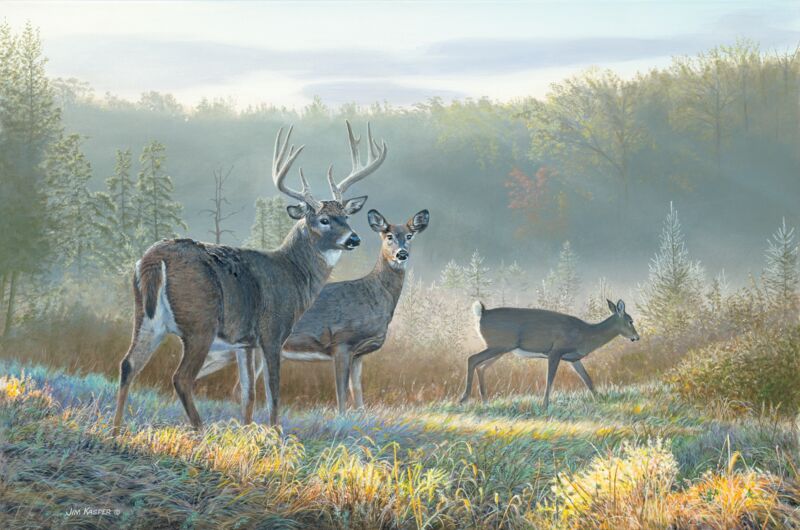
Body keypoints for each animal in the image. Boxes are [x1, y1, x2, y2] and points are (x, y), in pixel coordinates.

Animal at [112, 121, 387, 435]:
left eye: (347, 217)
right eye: (323, 219)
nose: (353, 239)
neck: (293, 274)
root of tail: (153, 258)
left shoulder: (244, 342)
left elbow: (247, 393)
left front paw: (246, 432)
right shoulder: (272, 331)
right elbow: (273, 391)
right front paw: (276, 434)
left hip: (146, 318)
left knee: (128, 364)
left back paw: (115, 430)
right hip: (199, 323)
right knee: (180, 377)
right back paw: (201, 431)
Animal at [196, 208, 430, 414]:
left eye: (409, 235)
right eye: (388, 236)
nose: (401, 254)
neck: (373, 295)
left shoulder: (359, 354)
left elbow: (358, 394)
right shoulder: (342, 343)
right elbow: (342, 395)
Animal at [459, 299, 639, 410]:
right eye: (630, 321)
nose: (637, 337)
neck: (585, 334)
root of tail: (482, 313)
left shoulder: (573, 359)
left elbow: (587, 379)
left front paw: (600, 399)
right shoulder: (555, 351)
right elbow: (550, 379)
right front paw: (545, 405)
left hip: (501, 348)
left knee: (481, 367)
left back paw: (485, 401)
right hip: (499, 345)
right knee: (472, 359)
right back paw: (464, 399)